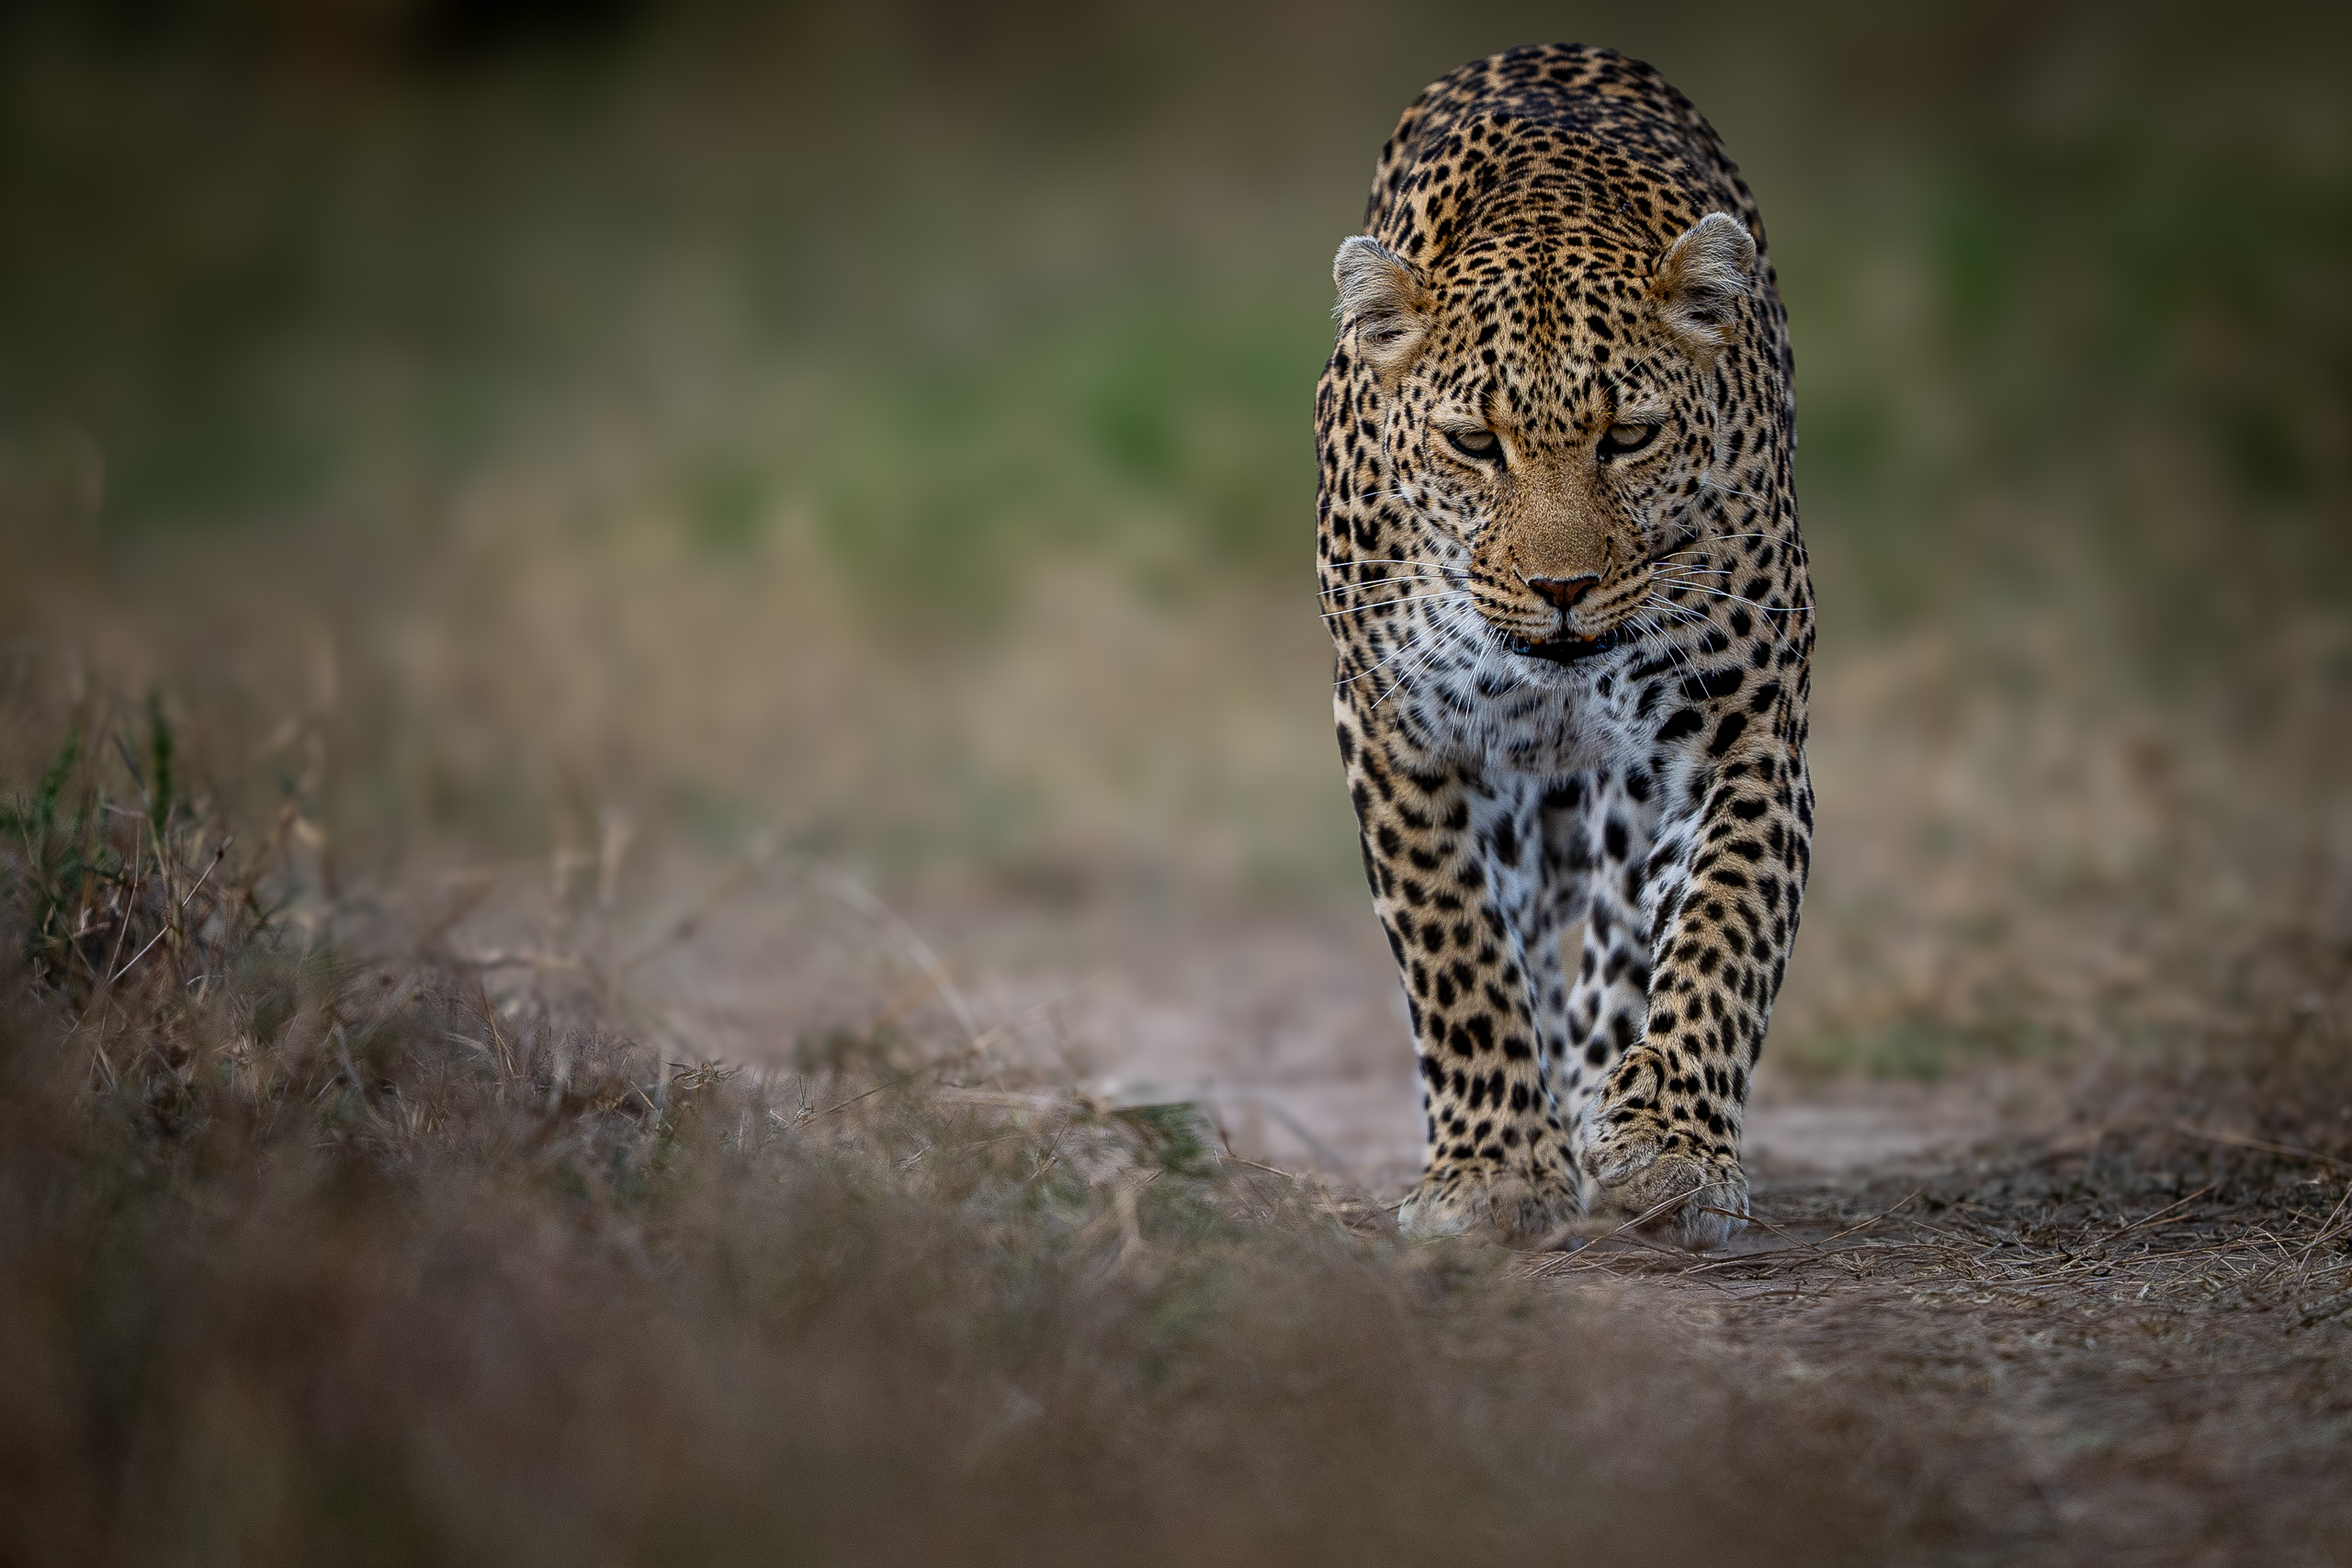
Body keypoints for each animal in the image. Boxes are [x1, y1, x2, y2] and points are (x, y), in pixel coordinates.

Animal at [1315, 43, 1813, 1252]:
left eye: (1628, 437)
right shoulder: (1401, 731)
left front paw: (1668, 1148)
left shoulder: (1742, 733)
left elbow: (1721, 931)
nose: (1561, 592)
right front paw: (1493, 1170)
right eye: (1471, 443)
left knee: (1623, 940)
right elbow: (1456, 952)